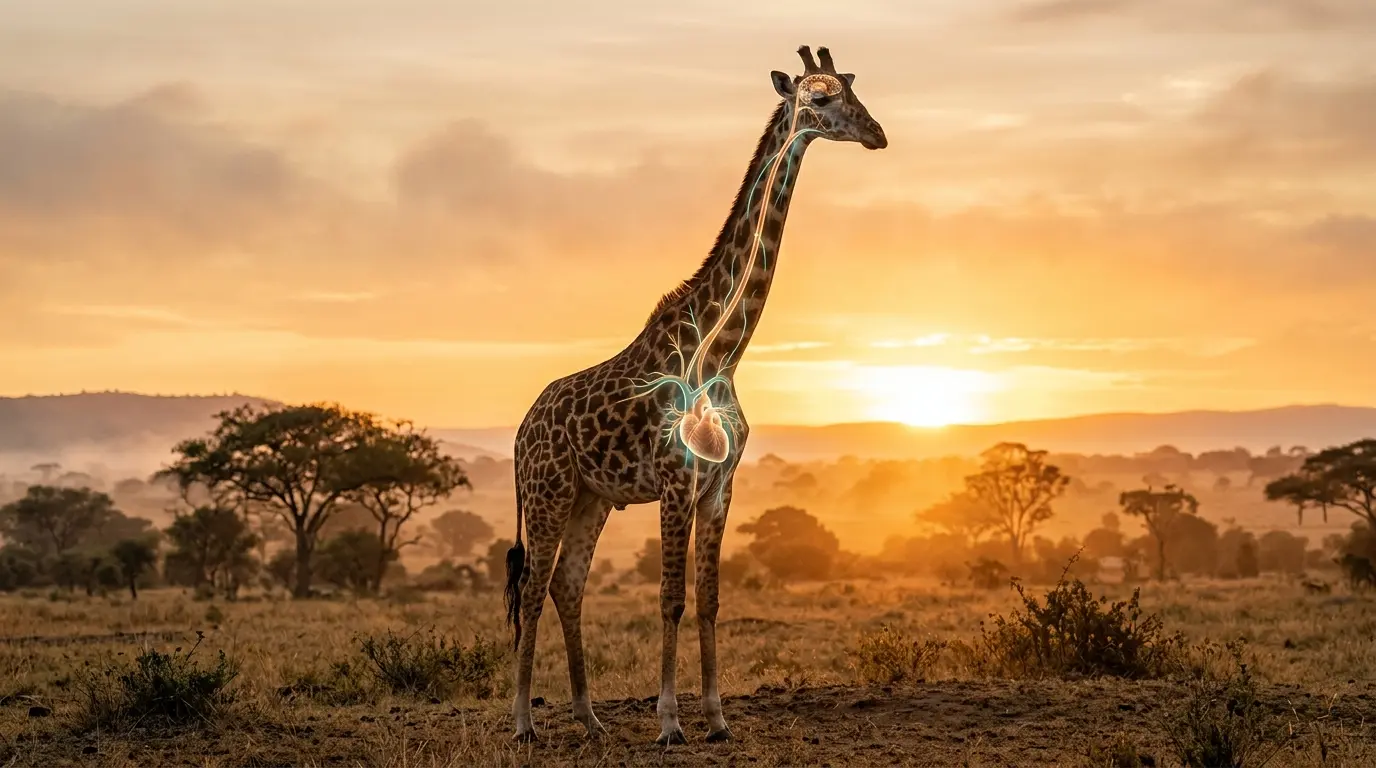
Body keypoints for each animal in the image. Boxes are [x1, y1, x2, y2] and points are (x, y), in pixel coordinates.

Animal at [504, 45, 887, 744]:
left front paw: (716, 717)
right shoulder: (676, 480)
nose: (877, 134)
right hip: (548, 494)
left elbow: (709, 600)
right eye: (818, 99)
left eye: (852, 90)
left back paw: (590, 719)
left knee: (566, 587)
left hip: (590, 498)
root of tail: (521, 430)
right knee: (533, 588)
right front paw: (669, 722)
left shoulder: (720, 484)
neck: (722, 351)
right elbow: (672, 599)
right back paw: (523, 724)